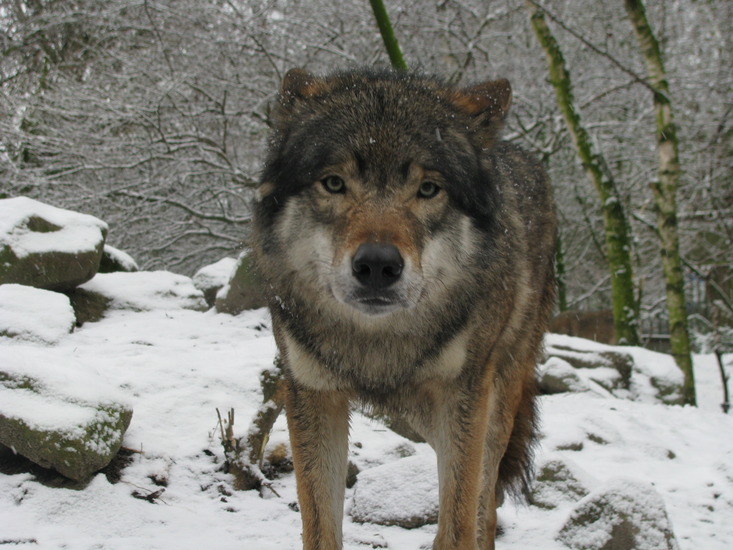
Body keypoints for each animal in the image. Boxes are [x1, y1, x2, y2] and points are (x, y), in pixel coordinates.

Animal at [251, 67, 556, 550]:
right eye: (333, 183)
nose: (377, 265)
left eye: (428, 189)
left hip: (495, 398)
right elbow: (320, 531)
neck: (378, 346)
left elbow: (457, 527)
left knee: (484, 505)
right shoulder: (313, 394)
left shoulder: (464, 397)